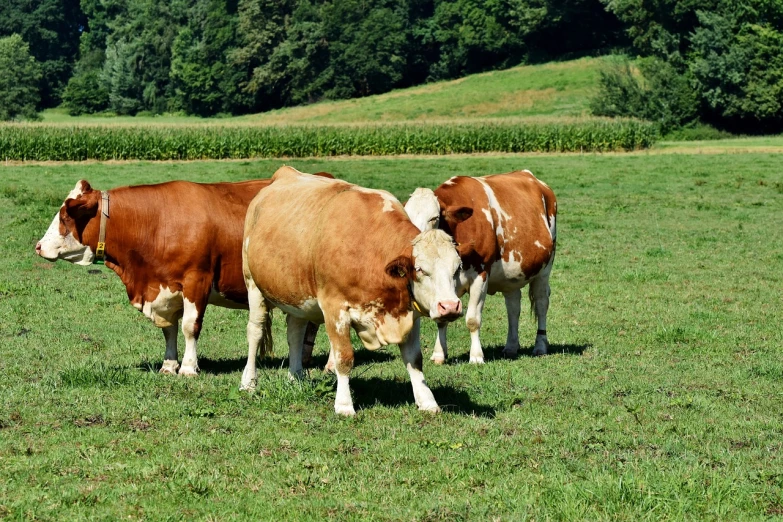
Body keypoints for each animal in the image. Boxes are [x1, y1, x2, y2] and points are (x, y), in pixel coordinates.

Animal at [35, 178, 318, 374]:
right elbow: (169, 329)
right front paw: (169, 365)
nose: (38, 246)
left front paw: (189, 367)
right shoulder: (164, 289)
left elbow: (189, 326)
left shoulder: (197, 281)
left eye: (65, 216)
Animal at [236, 167, 462, 414]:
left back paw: (296, 377)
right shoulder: (335, 309)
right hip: (253, 286)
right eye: (420, 269)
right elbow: (344, 358)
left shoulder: (409, 312)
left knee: (295, 332)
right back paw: (248, 382)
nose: (450, 306)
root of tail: (284, 173)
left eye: (457, 267)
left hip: (297, 297)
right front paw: (344, 405)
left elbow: (414, 358)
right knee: (255, 331)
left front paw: (427, 401)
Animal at [404, 170, 556, 362]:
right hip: (512, 275)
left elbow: (472, 319)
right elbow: (441, 318)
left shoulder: (481, 275)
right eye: (406, 216)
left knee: (542, 302)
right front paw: (439, 354)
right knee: (513, 307)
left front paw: (476, 356)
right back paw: (511, 346)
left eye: (434, 217)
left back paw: (540, 346)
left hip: (545, 268)